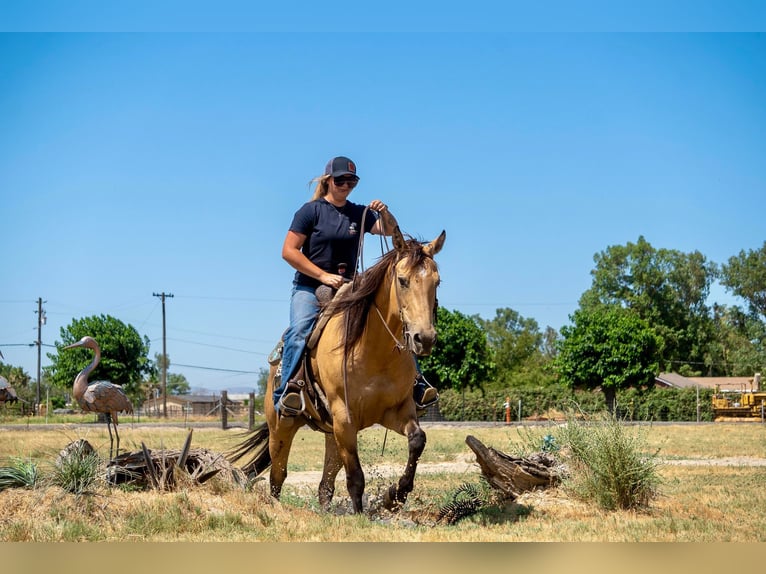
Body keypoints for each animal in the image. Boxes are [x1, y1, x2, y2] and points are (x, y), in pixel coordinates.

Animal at [229, 226, 445, 513]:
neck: (372, 350)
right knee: (278, 474)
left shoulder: (397, 411)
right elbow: (356, 477)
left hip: (332, 432)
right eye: (403, 280)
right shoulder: (345, 416)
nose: (425, 338)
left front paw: (395, 495)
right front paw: (361, 514)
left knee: (325, 484)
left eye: (437, 282)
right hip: (282, 426)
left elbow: (417, 440)